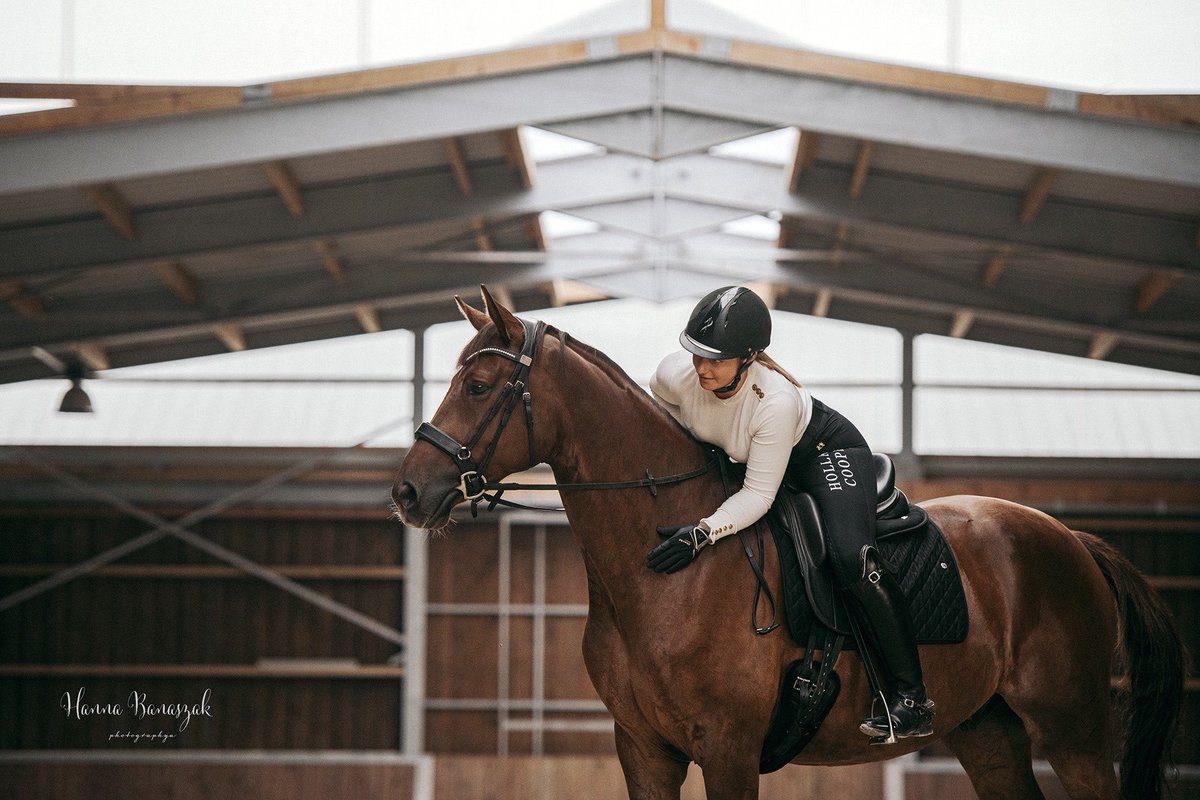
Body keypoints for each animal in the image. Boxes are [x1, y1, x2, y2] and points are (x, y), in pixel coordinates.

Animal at [392, 287, 1185, 800]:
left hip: (1074, 735)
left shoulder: (729, 750)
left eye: (479, 385)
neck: (662, 577)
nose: (407, 493)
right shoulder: (645, 751)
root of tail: (1071, 538)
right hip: (988, 735)